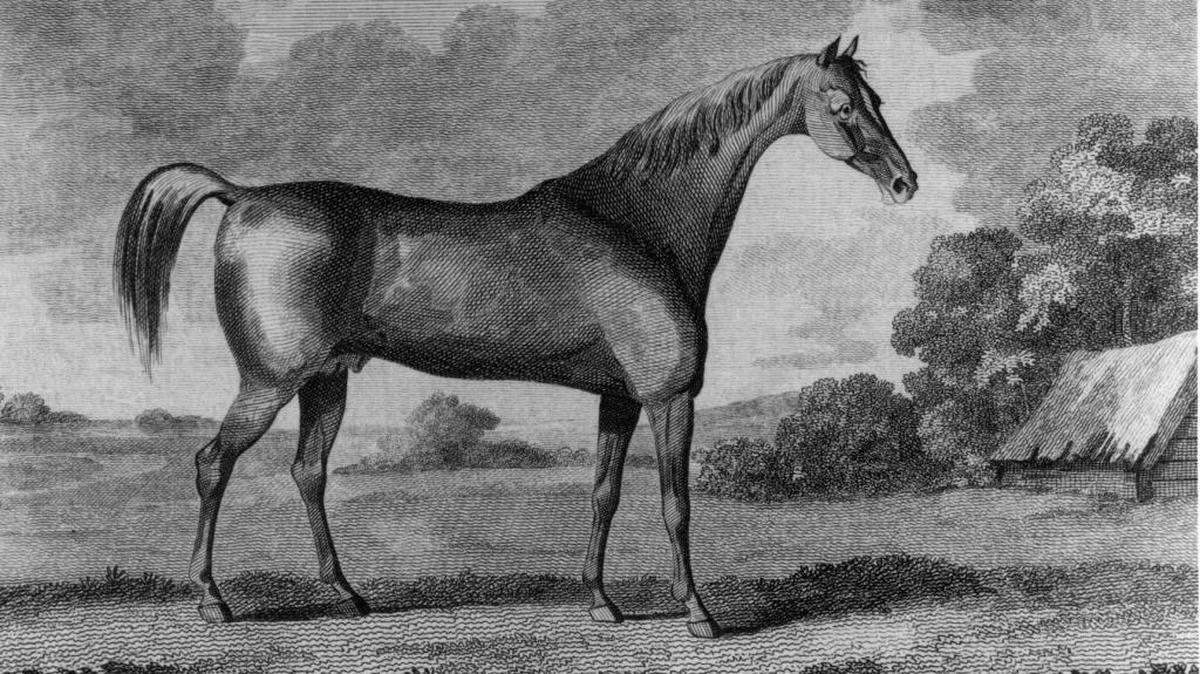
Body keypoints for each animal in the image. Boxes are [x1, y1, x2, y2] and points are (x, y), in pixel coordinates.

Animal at [114, 36, 916, 639]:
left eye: (877, 101)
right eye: (843, 106)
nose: (905, 183)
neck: (637, 221)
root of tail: (243, 196)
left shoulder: (620, 399)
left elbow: (604, 493)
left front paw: (601, 601)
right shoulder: (668, 396)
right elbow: (675, 504)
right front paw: (697, 614)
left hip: (327, 380)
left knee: (307, 472)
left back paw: (346, 595)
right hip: (270, 381)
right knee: (212, 464)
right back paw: (212, 601)